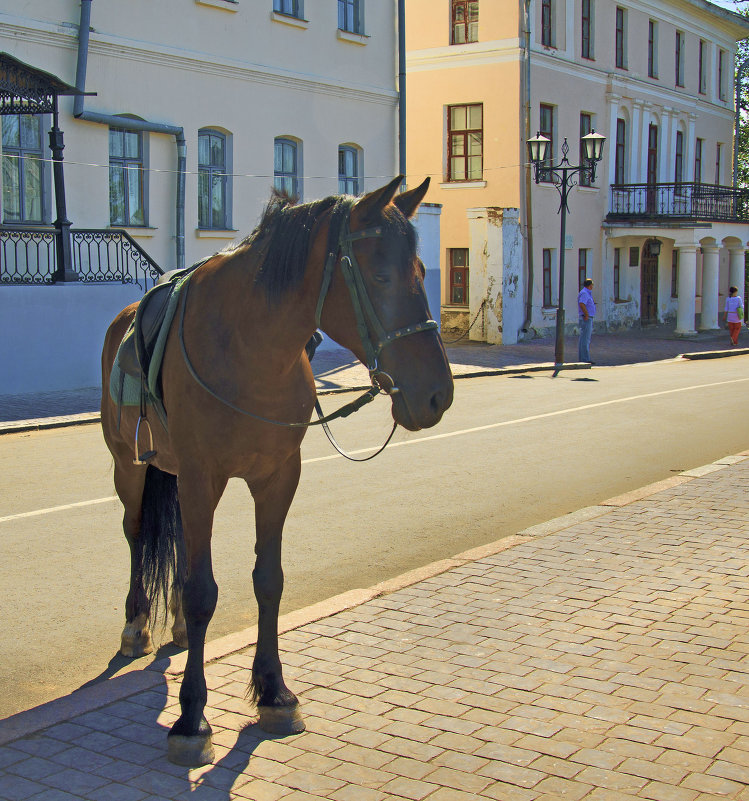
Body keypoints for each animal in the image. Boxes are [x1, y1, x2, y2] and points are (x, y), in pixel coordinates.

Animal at [99, 173, 450, 764]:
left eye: (423, 273)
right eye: (380, 275)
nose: (438, 395)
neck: (248, 347)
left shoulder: (278, 479)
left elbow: (269, 581)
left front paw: (274, 692)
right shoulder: (201, 479)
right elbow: (203, 592)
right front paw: (192, 717)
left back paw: (173, 625)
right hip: (130, 467)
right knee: (134, 532)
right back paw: (136, 622)